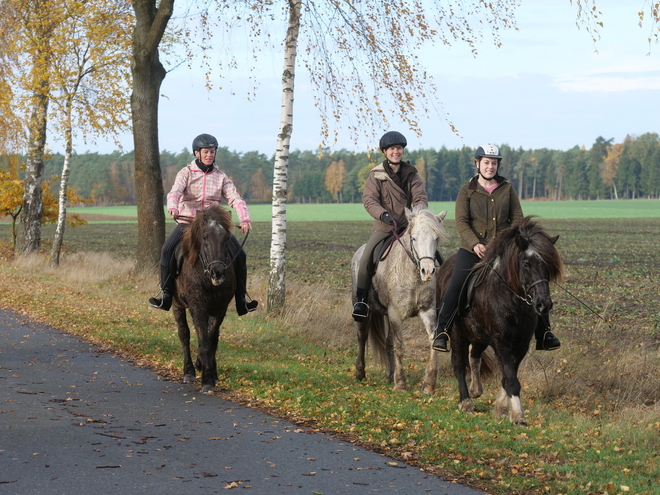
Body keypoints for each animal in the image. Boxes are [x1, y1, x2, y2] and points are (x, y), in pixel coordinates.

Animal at [350, 207, 448, 394]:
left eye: (436, 238)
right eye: (414, 238)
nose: (428, 271)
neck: (412, 273)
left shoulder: (428, 310)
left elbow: (432, 341)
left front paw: (429, 384)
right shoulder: (395, 313)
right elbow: (399, 346)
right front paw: (401, 384)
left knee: (387, 343)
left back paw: (390, 375)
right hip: (362, 310)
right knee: (361, 337)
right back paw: (360, 372)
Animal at [436, 217, 564, 426]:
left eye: (547, 265)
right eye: (526, 263)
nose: (543, 305)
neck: (511, 300)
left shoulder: (521, 343)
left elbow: (509, 375)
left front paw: (502, 409)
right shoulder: (500, 341)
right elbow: (511, 378)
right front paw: (518, 416)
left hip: (479, 336)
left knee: (474, 355)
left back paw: (476, 389)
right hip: (456, 334)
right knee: (458, 364)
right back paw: (466, 402)